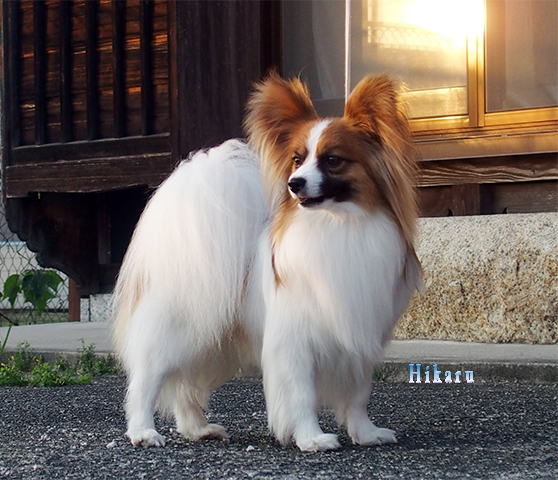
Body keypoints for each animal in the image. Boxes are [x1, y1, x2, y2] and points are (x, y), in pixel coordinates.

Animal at [112, 73, 420, 452]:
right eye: (297, 160)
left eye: (332, 160)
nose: (294, 183)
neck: (338, 225)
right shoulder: (294, 341)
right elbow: (302, 394)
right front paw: (312, 438)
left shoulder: (359, 335)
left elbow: (359, 395)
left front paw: (366, 433)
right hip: (179, 329)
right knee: (147, 378)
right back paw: (143, 431)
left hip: (211, 342)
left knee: (185, 386)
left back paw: (198, 429)